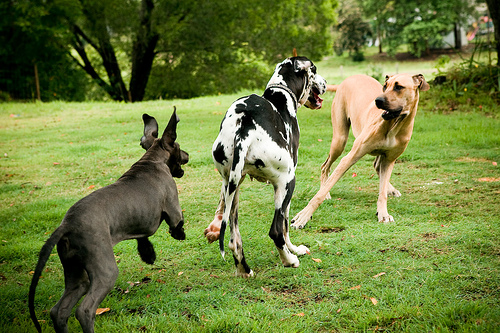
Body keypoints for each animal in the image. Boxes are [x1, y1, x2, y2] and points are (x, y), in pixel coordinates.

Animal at [29, 109, 189, 332]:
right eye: (179, 146)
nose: (188, 156)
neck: (152, 160)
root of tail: (67, 225)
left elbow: (142, 237)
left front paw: (148, 254)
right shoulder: (173, 207)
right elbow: (176, 225)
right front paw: (178, 235)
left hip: (76, 272)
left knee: (58, 311)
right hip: (105, 270)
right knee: (84, 310)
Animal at [204, 56, 328, 274]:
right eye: (314, 69)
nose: (326, 83)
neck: (281, 93)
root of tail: (244, 127)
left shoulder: (230, 181)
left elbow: (220, 205)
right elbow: (286, 226)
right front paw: (295, 250)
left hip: (234, 188)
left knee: (234, 240)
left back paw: (244, 270)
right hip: (286, 182)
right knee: (276, 231)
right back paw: (289, 260)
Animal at [292, 73, 430, 228]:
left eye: (399, 87)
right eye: (385, 86)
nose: (378, 100)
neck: (394, 125)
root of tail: (351, 77)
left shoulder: (389, 160)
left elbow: (382, 192)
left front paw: (383, 213)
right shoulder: (350, 157)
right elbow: (320, 193)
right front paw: (303, 216)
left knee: (377, 165)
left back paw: (390, 188)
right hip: (339, 141)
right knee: (325, 166)